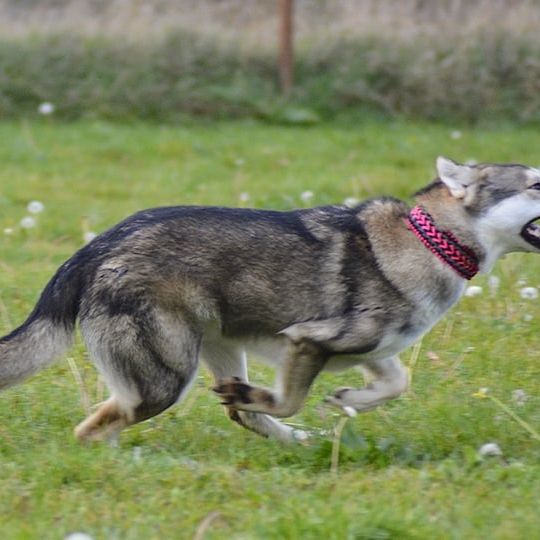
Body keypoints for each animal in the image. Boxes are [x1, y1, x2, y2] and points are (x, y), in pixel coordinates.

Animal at [1, 157, 540, 442]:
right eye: (535, 183)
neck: (432, 240)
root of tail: (93, 248)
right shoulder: (307, 339)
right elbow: (291, 399)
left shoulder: (374, 350)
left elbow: (396, 383)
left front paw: (349, 400)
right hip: (165, 378)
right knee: (96, 426)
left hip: (217, 344)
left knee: (239, 413)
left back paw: (294, 442)